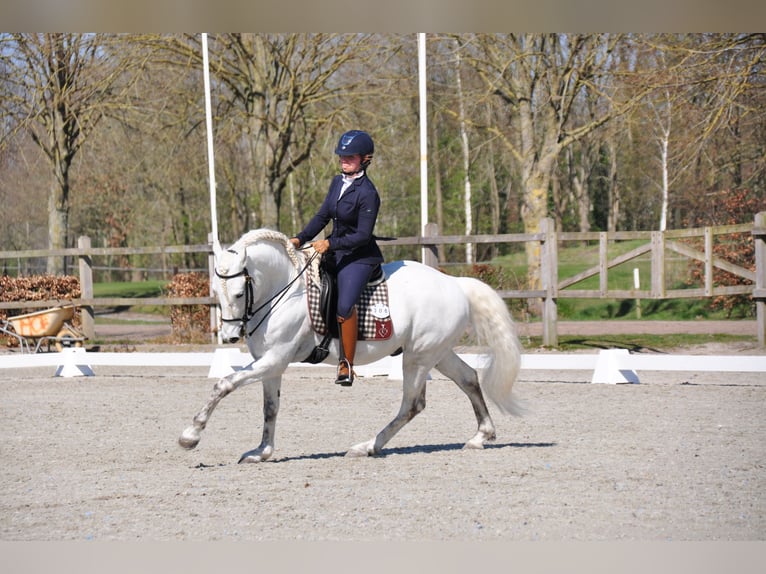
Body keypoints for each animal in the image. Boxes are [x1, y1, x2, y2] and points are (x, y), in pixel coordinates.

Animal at [178, 229, 523, 462]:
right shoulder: (270, 364)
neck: (283, 292)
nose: (229, 336)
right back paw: (480, 437)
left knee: (412, 404)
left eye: (239, 293)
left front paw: (191, 435)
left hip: (418, 358)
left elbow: (224, 384)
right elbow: (270, 408)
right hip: (436, 353)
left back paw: (367, 446)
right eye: (215, 290)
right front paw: (261, 451)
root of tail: (455, 284)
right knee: (469, 378)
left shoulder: (275, 359)